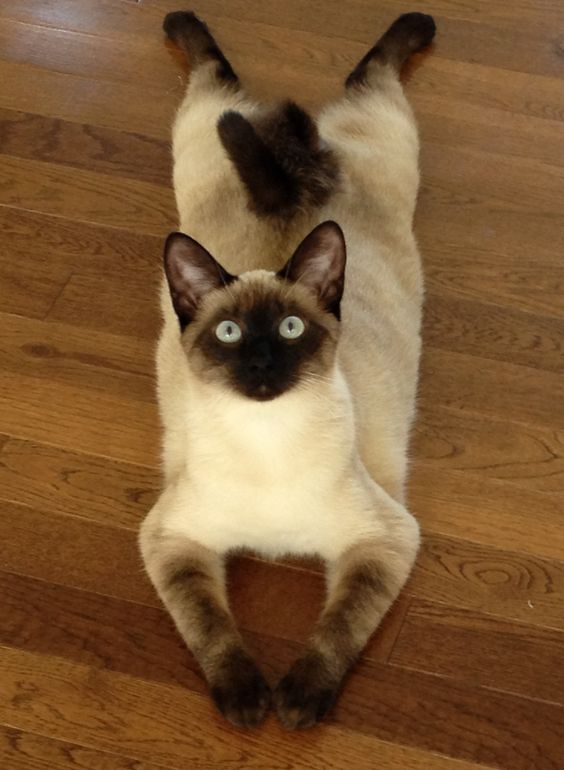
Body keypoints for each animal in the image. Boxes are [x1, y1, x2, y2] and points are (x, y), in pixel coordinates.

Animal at [140, 9, 436, 728]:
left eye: (291, 329)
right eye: (228, 333)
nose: (261, 366)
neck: (267, 443)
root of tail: (297, 180)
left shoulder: (383, 542)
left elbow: (336, 631)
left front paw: (298, 706)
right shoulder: (173, 541)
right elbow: (212, 628)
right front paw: (247, 705)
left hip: (391, 140)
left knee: (363, 77)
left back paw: (419, 25)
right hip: (195, 140)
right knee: (222, 84)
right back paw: (179, 21)